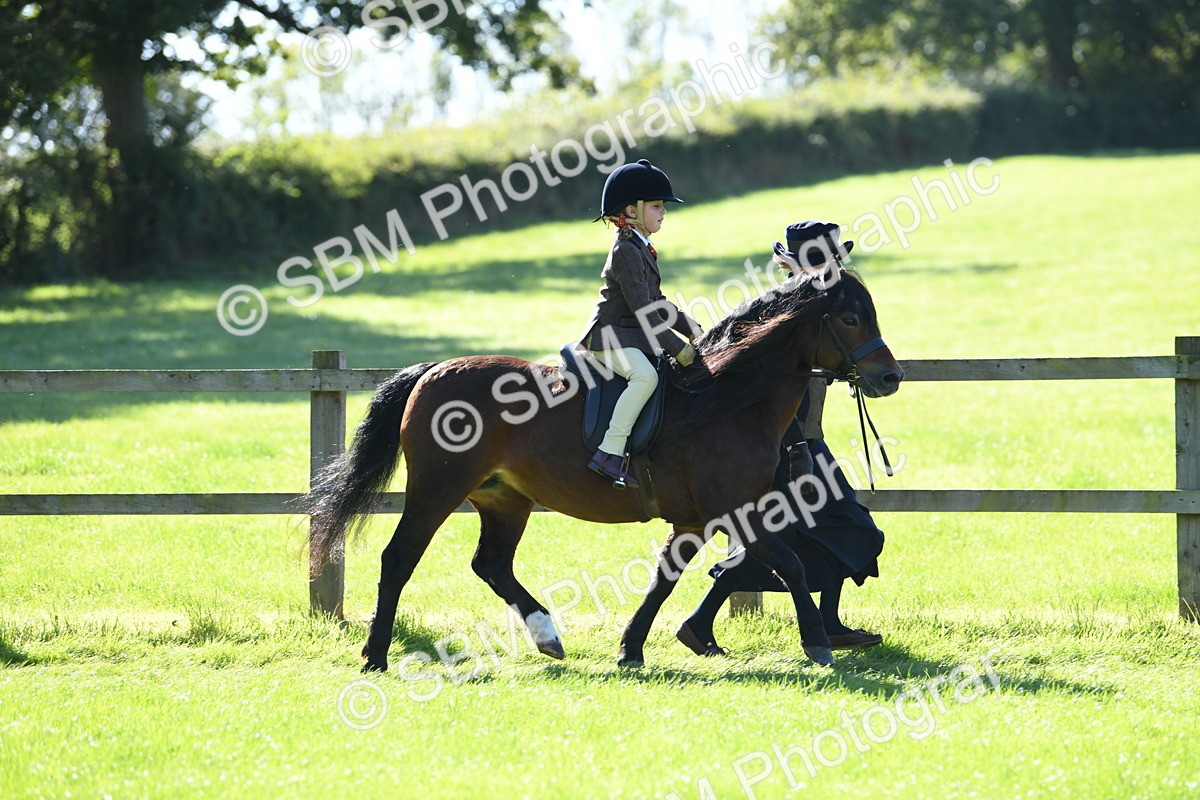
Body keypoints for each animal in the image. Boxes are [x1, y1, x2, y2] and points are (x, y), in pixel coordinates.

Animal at [304, 268, 903, 672]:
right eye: (850, 317)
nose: (890, 377)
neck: (729, 399)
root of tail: (433, 371)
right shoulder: (740, 511)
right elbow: (794, 567)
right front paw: (818, 643)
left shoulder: (694, 520)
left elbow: (664, 580)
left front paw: (631, 648)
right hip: (437, 490)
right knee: (399, 559)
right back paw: (376, 655)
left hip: (504, 499)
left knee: (491, 564)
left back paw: (547, 635)